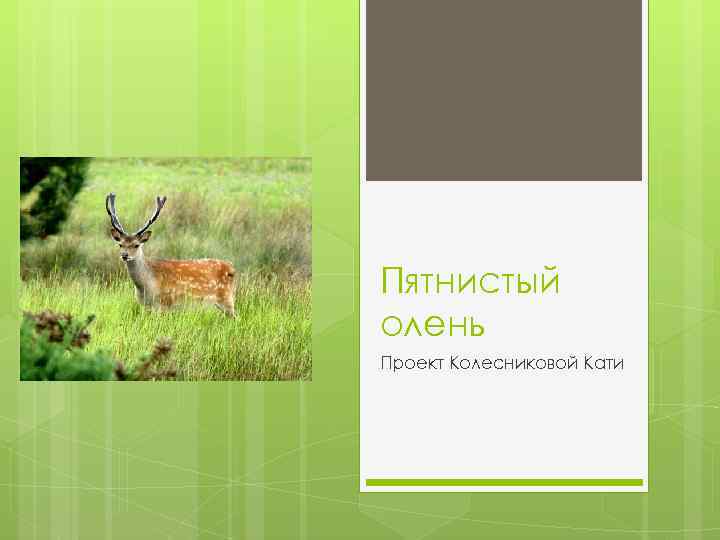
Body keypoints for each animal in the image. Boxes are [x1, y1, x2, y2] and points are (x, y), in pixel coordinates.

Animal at [106, 193, 237, 317]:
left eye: (136, 245)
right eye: (120, 244)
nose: (124, 255)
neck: (147, 287)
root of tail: (232, 269)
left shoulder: (165, 304)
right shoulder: (145, 307)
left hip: (227, 299)